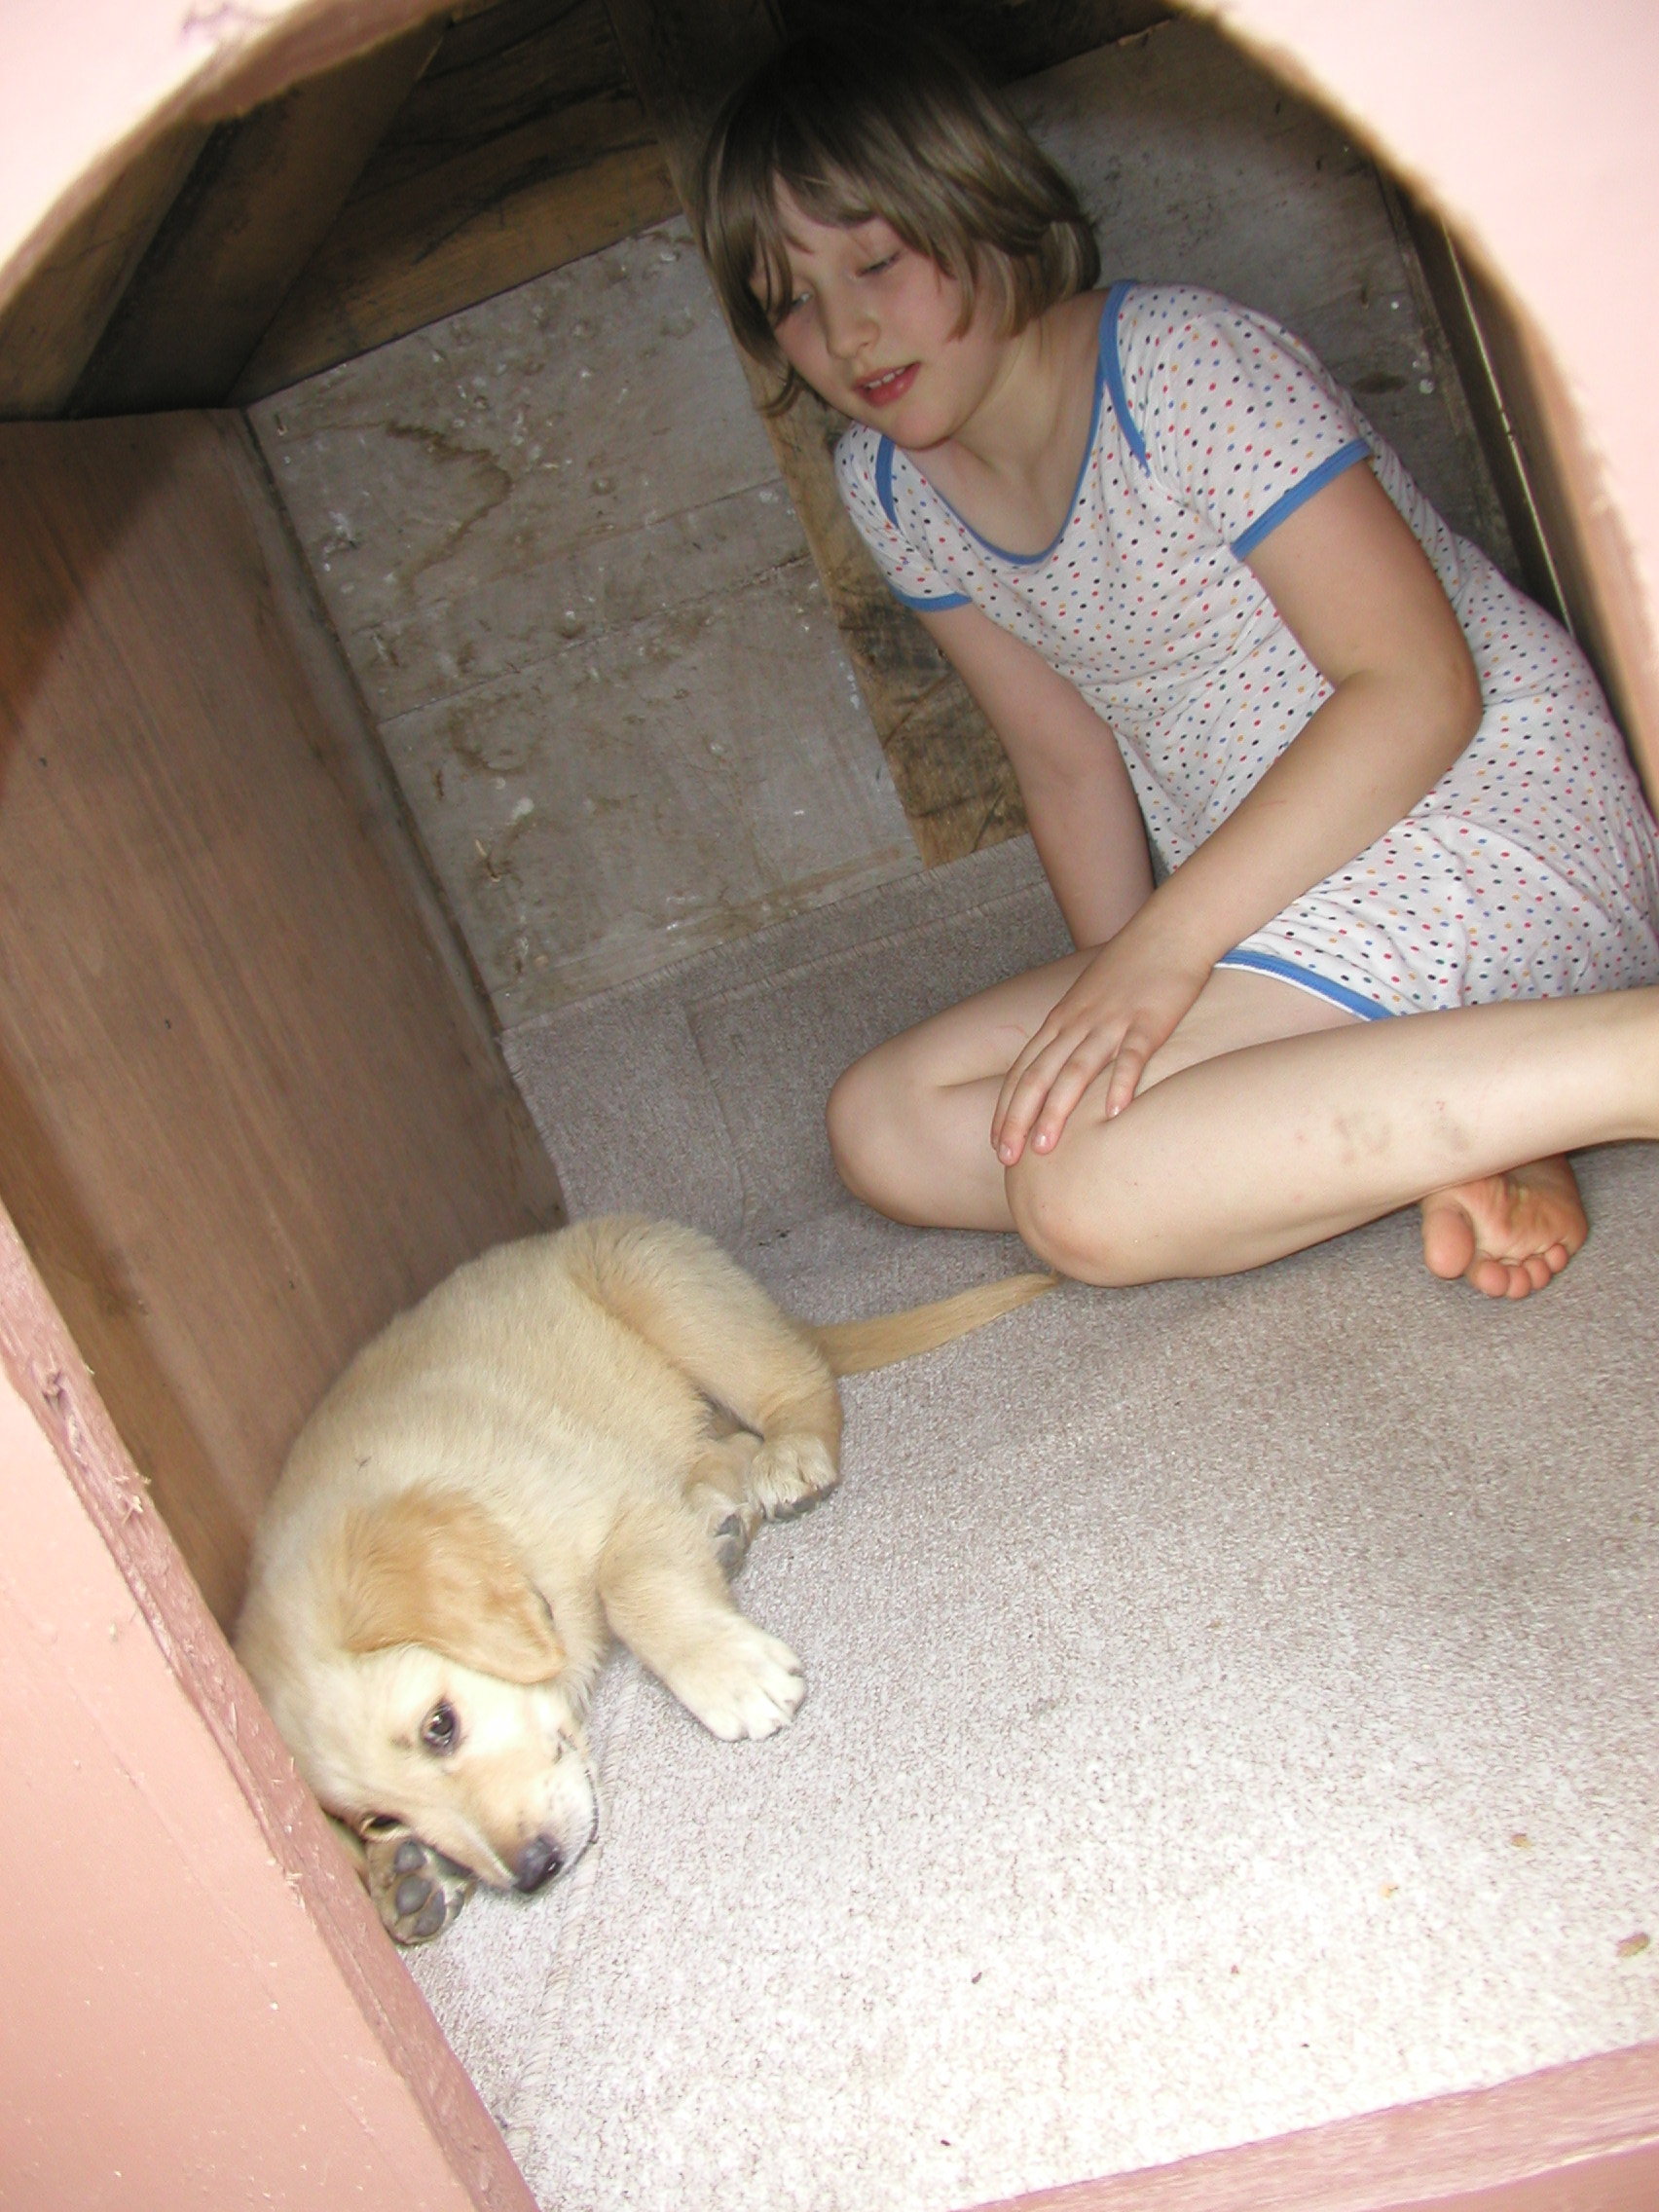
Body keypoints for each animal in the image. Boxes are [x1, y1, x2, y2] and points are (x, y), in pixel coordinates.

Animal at [235, 1215, 1052, 1943]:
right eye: (376, 1818)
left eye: (442, 1724)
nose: (534, 1873)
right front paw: (405, 1874)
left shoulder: (614, 1496)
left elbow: (630, 1586)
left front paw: (732, 1678)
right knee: (723, 1445)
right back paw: (722, 1517)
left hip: (659, 1286)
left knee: (799, 1385)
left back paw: (788, 1458)